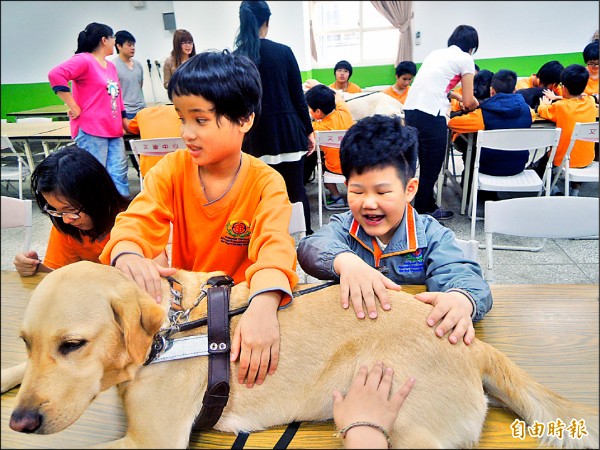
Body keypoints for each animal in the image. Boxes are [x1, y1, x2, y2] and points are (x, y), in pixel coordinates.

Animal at [2, 262, 596, 448]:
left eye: (73, 345)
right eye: (28, 342)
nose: (20, 422)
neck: (169, 330)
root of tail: (476, 347)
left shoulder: (152, 442)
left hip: (407, 426)